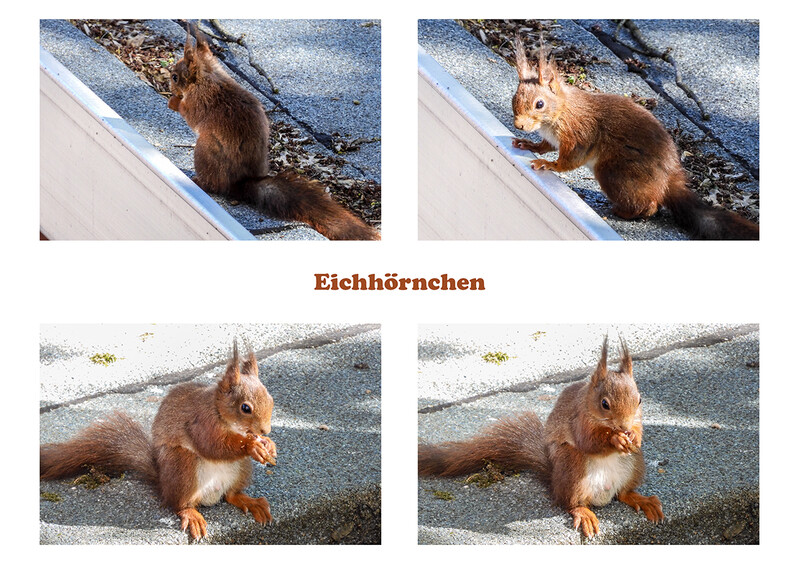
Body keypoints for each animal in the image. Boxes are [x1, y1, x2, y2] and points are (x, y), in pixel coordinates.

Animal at [40, 342, 278, 540]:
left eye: (271, 399)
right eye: (245, 408)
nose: (266, 429)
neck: (223, 415)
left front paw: (268, 444)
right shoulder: (201, 423)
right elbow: (213, 445)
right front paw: (252, 445)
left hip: (240, 469)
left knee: (231, 495)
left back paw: (251, 502)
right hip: (182, 466)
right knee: (179, 504)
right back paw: (192, 514)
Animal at [167, 24, 380, 240]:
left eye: (175, 76)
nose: (169, 82)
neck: (208, 76)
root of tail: (240, 183)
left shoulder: (199, 102)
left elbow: (189, 114)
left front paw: (174, 102)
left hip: (205, 152)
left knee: (214, 185)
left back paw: (198, 181)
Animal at [418, 338, 664, 536]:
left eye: (640, 400)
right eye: (605, 404)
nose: (623, 426)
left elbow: (638, 428)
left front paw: (634, 436)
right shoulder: (578, 420)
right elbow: (588, 441)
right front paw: (615, 439)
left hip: (634, 463)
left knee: (623, 494)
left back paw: (642, 500)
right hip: (571, 466)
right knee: (570, 503)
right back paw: (584, 513)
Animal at [512, 37, 756, 240]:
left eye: (540, 104)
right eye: (515, 99)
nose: (519, 125)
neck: (559, 113)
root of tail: (668, 180)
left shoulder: (580, 133)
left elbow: (570, 159)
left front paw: (549, 164)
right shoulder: (553, 138)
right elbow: (545, 145)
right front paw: (528, 144)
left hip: (614, 173)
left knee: (650, 204)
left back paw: (623, 211)